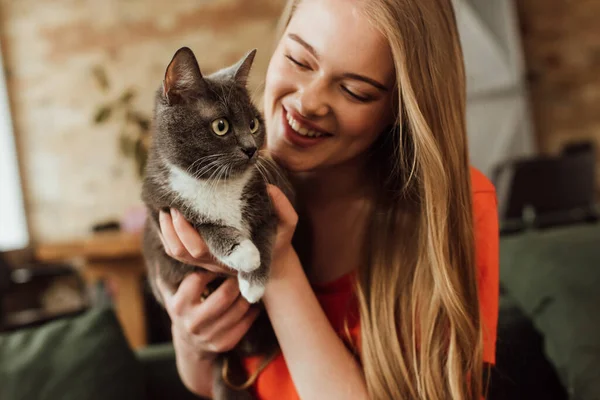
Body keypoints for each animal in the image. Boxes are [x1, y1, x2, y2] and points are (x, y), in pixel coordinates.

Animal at [141, 47, 290, 400]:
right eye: (221, 126)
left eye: (253, 123)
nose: (251, 148)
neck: (217, 184)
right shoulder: (160, 210)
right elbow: (203, 225)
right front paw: (241, 252)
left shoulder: (267, 201)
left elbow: (265, 235)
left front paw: (253, 282)